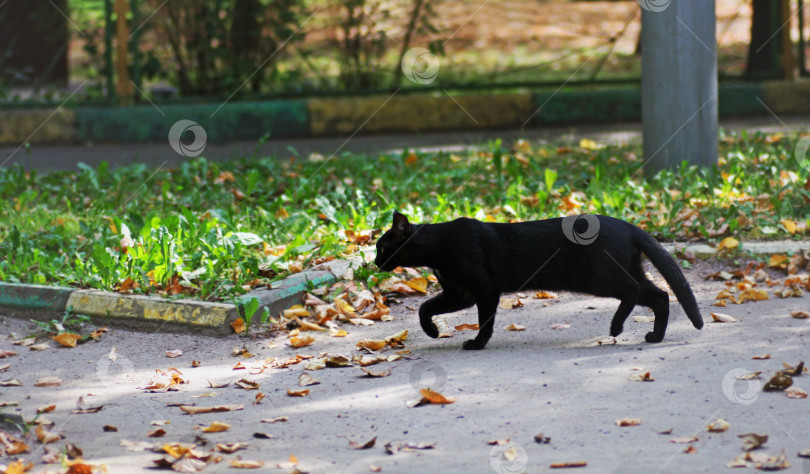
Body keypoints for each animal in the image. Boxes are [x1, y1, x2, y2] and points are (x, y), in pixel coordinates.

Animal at [372, 213, 700, 350]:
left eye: (382, 247)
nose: (375, 263)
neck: (438, 247)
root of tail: (629, 226)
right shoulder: (459, 293)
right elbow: (424, 308)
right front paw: (431, 331)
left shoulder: (484, 289)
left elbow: (485, 321)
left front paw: (477, 344)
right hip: (619, 272)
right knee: (660, 296)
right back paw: (655, 337)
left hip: (599, 276)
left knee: (635, 291)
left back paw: (616, 327)